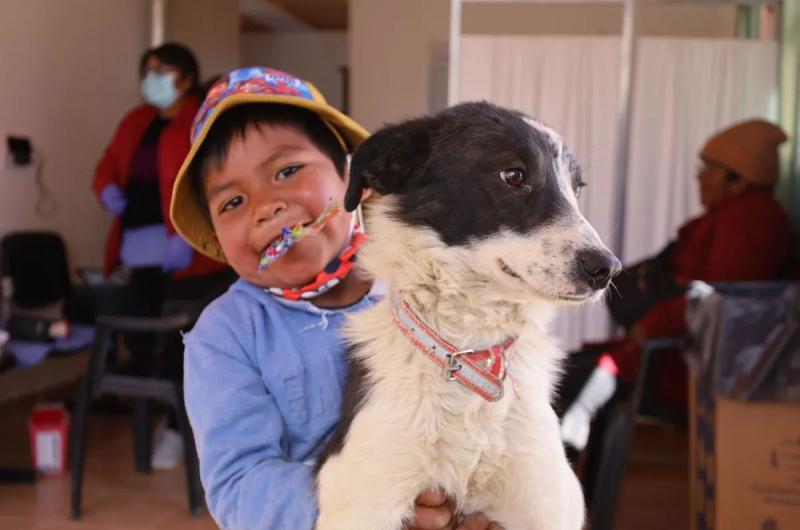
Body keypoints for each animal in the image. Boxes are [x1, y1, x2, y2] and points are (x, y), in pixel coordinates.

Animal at [312, 102, 620, 528]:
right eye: (513, 175)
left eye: (576, 189)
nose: (607, 269)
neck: (471, 353)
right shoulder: (363, 503)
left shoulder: (546, 507)